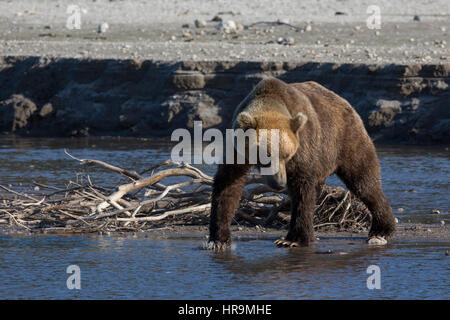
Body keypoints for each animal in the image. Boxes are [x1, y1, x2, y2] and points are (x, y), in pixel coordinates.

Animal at [209, 76, 396, 249]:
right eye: (265, 155)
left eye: (286, 155)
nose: (279, 183)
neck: (270, 102)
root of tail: (343, 100)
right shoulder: (237, 148)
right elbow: (227, 184)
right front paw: (219, 239)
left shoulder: (303, 143)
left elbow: (302, 188)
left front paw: (293, 239)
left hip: (346, 139)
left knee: (363, 181)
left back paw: (381, 231)